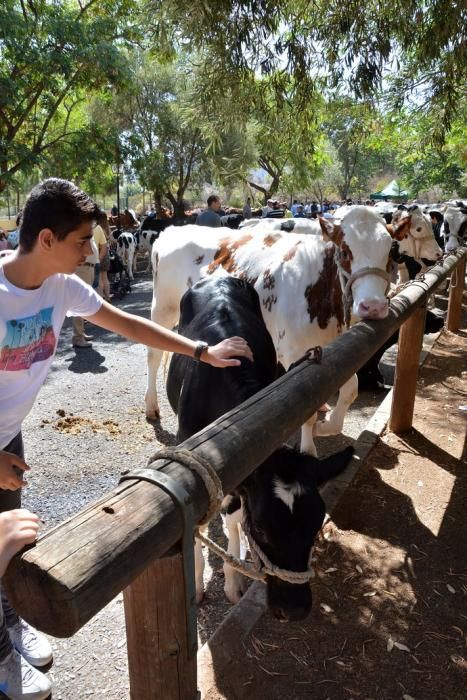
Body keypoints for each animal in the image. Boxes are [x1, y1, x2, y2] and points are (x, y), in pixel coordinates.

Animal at [168, 276, 354, 620]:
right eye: (262, 529)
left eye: (316, 525)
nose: (295, 609)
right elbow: (198, 528)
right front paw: (197, 585)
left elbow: (231, 517)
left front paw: (233, 581)